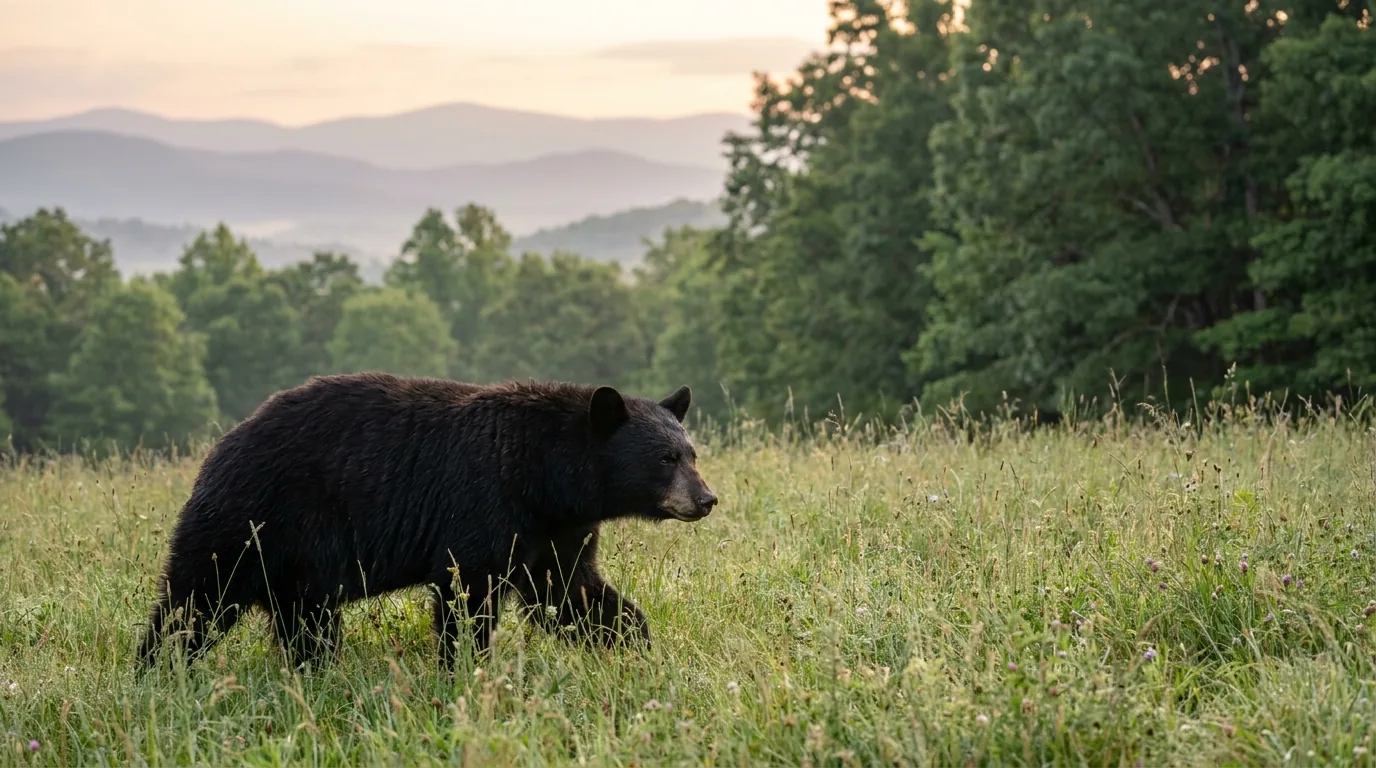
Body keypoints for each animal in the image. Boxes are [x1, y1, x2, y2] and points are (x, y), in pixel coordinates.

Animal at [135, 372, 718, 671]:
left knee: (307, 624)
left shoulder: (557, 531)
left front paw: (634, 644)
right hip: (252, 521)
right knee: (195, 599)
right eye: (666, 458)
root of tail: (220, 446)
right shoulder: (483, 501)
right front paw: (465, 671)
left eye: (691, 453)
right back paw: (156, 668)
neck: (543, 474)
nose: (707, 498)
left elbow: (570, 590)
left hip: (296, 567)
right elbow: (468, 592)